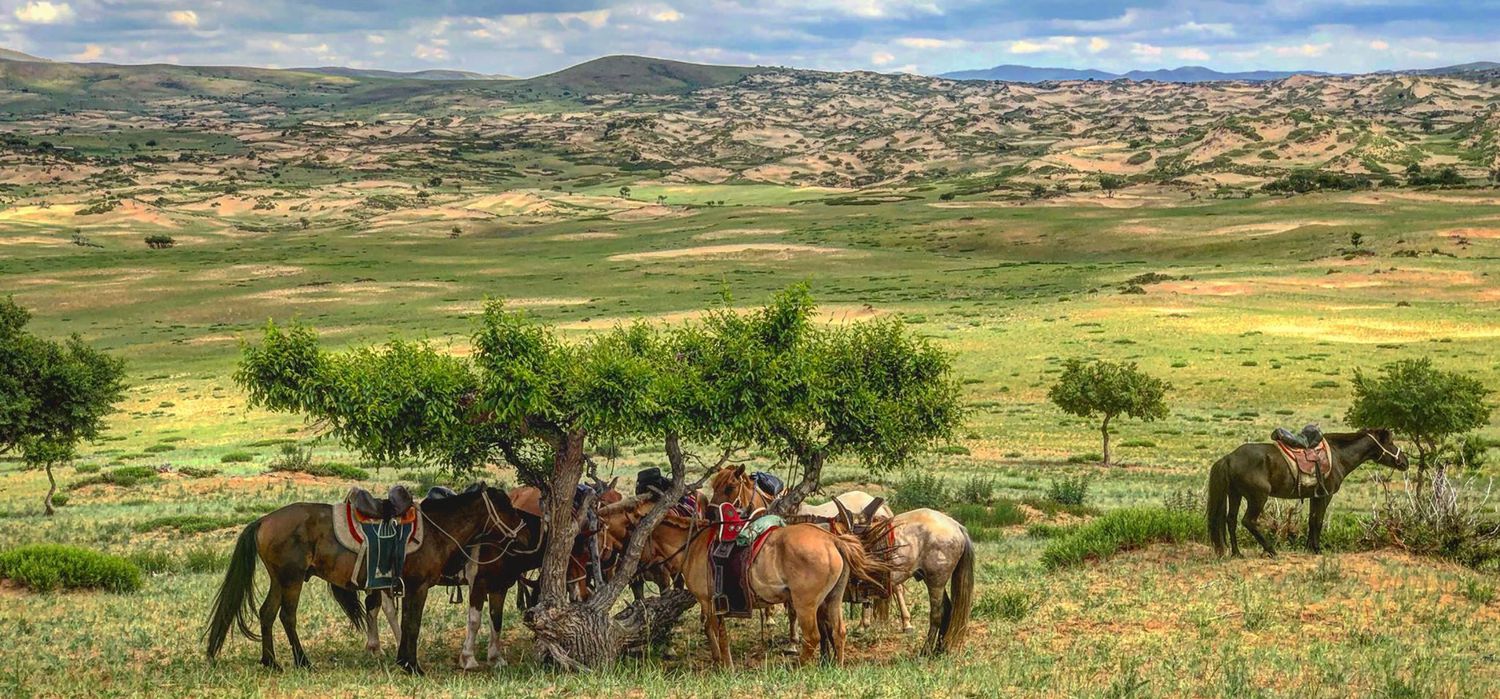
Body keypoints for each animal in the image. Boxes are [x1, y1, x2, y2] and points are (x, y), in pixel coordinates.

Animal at [204, 483, 522, 675]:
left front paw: (403, 661)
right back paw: (302, 661)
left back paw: (271, 662)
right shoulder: (418, 587)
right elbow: (413, 624)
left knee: (267, 613)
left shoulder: (406, 588)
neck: (436, 531)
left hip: (279, 580)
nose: (520, 528)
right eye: (506, 506)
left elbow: (406, 623)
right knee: (286, 616)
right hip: (291, 580)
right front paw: (413, 666)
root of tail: (264, 520)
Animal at [1206, 426, 1404, 558]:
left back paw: (1237, 553)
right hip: (1258, 497)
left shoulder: (1315, 496)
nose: (1405, 461)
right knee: (1248, 521)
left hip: (1235, 494)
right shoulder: (1326, 495)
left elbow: (1312, 520)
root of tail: (1229, 458)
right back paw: (1271, 550)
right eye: (1391, 442)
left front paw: (1309, 547)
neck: (1338, 455)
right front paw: (1317, 549)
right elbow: (1318, 521)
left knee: (1231, 520)